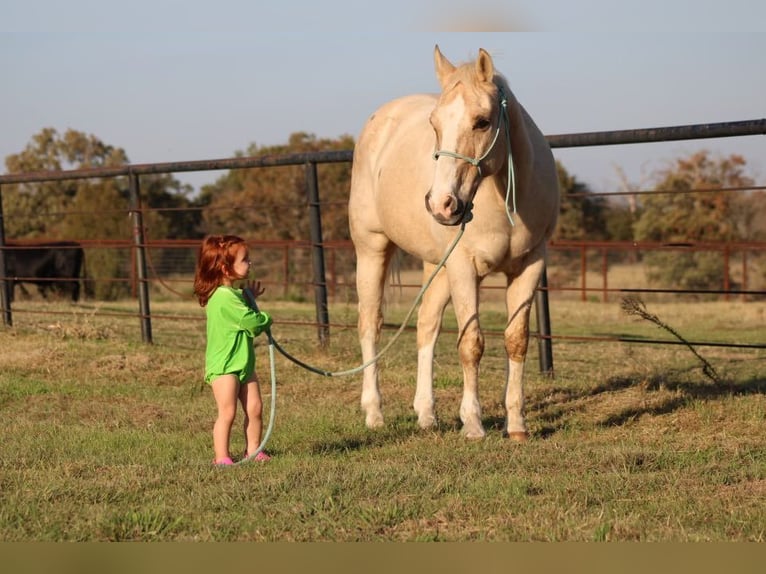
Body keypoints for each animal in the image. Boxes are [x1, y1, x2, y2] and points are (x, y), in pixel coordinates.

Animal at [348, 46, 560, 440]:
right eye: (434, 124)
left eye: (482, 121)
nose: (442, 204)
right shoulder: (465, 267)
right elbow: (470, 343)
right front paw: (473, 424)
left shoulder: (530, 265)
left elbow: (516, 340)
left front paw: (516, 424)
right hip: (372, 249)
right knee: (370, 324)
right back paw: (374, 413)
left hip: (437, 265)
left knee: (426, 324)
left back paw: (426, 414)